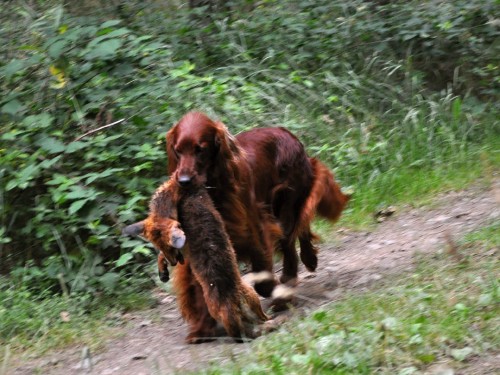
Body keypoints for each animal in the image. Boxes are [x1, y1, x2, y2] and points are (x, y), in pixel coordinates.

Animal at [166, 112, 350, 288]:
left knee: (292, 232)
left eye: (200, 150)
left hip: (287, 199)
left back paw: (297, 268)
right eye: (178, 150)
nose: (183, 181)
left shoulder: (255, 225)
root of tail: (287, 133)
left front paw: (270, 288)